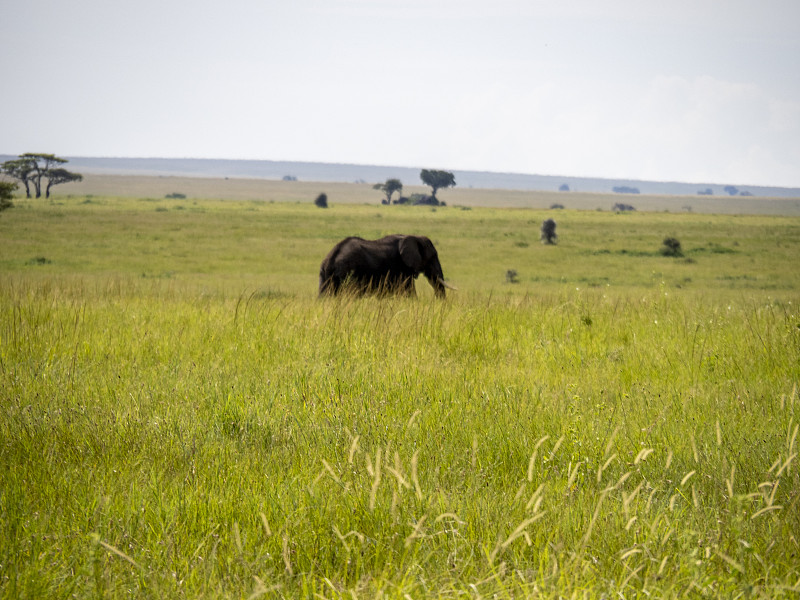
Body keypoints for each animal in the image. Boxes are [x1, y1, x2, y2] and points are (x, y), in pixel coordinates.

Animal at [318, 236, 454, 298]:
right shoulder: (401, 268)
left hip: (325, 274)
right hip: (349, 272)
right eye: (432, 256)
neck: (415, 237)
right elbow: (409, 292)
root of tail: (332, 257)